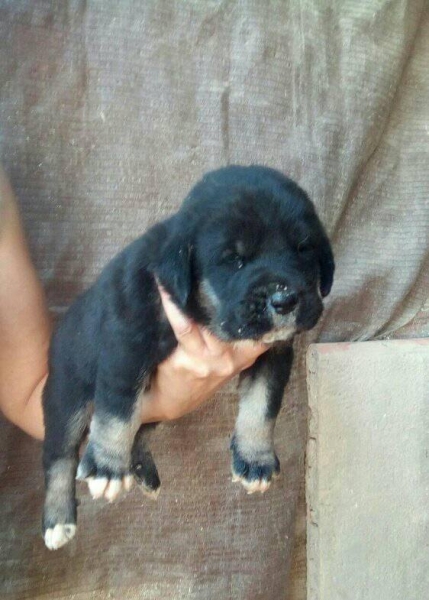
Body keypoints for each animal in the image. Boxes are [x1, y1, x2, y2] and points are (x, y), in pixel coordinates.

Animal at [41, 164, 332, 548]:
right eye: (234, 260)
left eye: (303, 249)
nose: (284, 300)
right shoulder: (128, 343)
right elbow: (118, 409)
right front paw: (107, 465)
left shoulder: (274, 355)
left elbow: (262, 406)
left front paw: (256, 459)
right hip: (67, 394)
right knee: (59, 455)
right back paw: (59, 519)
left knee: (143, 428)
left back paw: (143, 470)